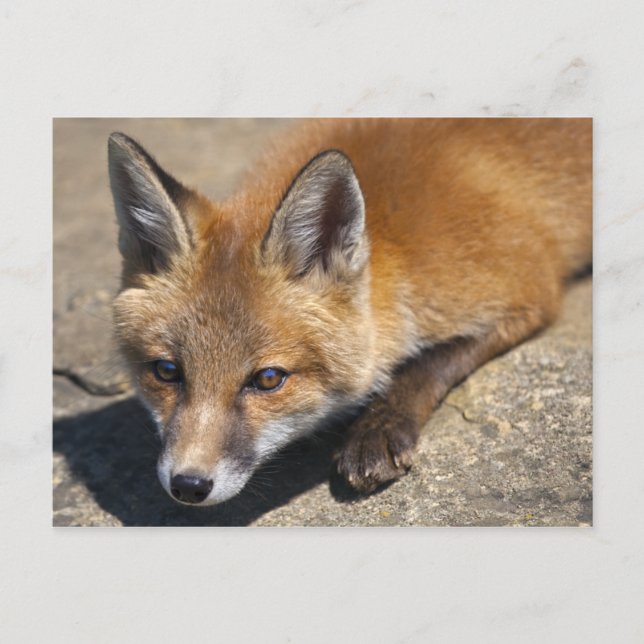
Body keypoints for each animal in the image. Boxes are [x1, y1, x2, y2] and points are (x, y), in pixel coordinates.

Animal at [108, 118, 592, 507]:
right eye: (167, 371)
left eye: (268, 379)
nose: (188, 485)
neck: (398, 252)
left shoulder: (528, 288)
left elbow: (427, 362)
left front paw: (377, 428)